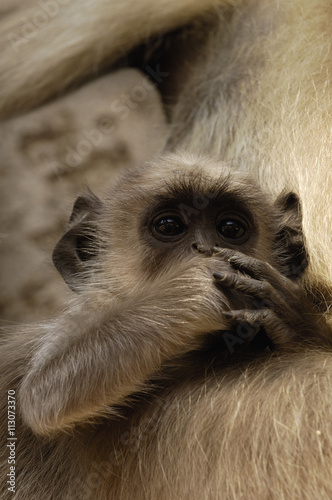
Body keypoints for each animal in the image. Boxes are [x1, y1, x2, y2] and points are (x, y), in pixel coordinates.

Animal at [14, 150, 330, 436]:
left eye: (230, 228)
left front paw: (296, 323)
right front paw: (196, 287)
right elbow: (44, 391)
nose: (203, 248)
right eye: (169, 226)